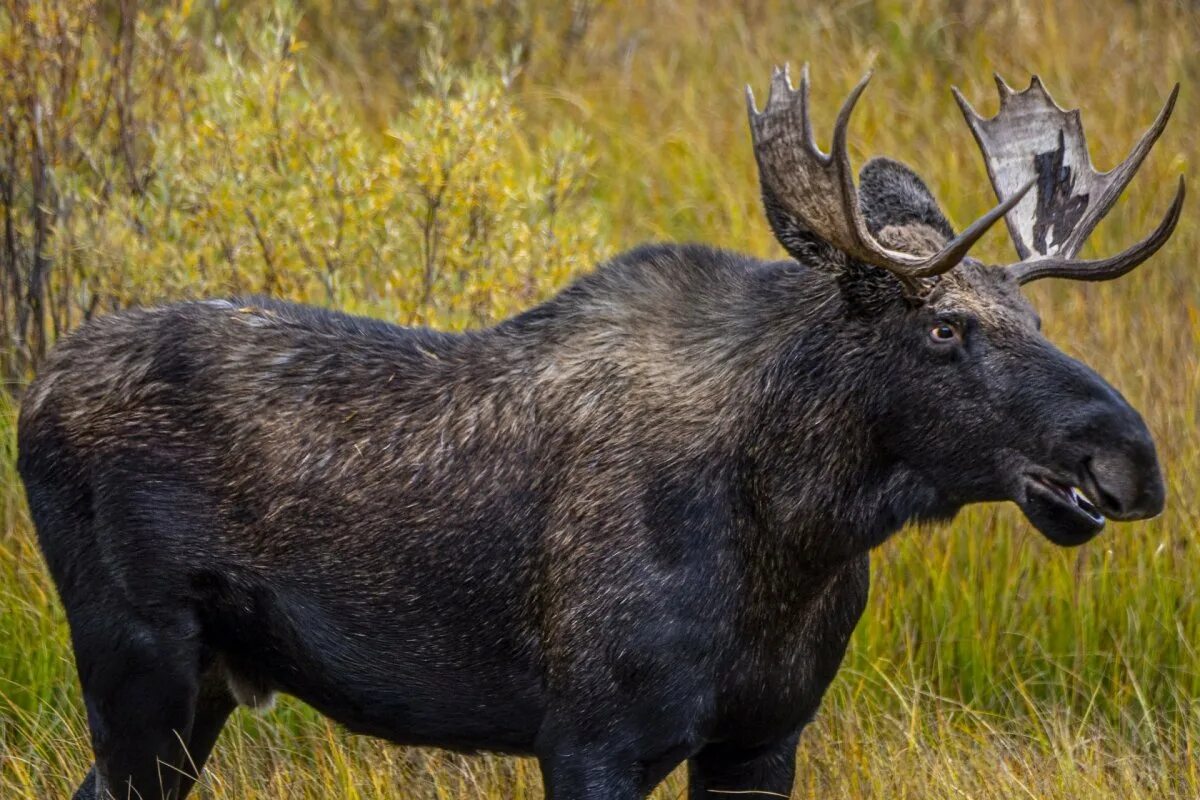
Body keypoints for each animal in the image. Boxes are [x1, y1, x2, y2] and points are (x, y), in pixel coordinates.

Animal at [16, 68, 1180, 800]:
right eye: (943, 327)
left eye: (1037, 321)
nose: (1129, 458)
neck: (795, 534)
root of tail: (32, 393)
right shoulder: (589, 738)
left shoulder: (763, 738)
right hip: (137, 666)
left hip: (203, 687)